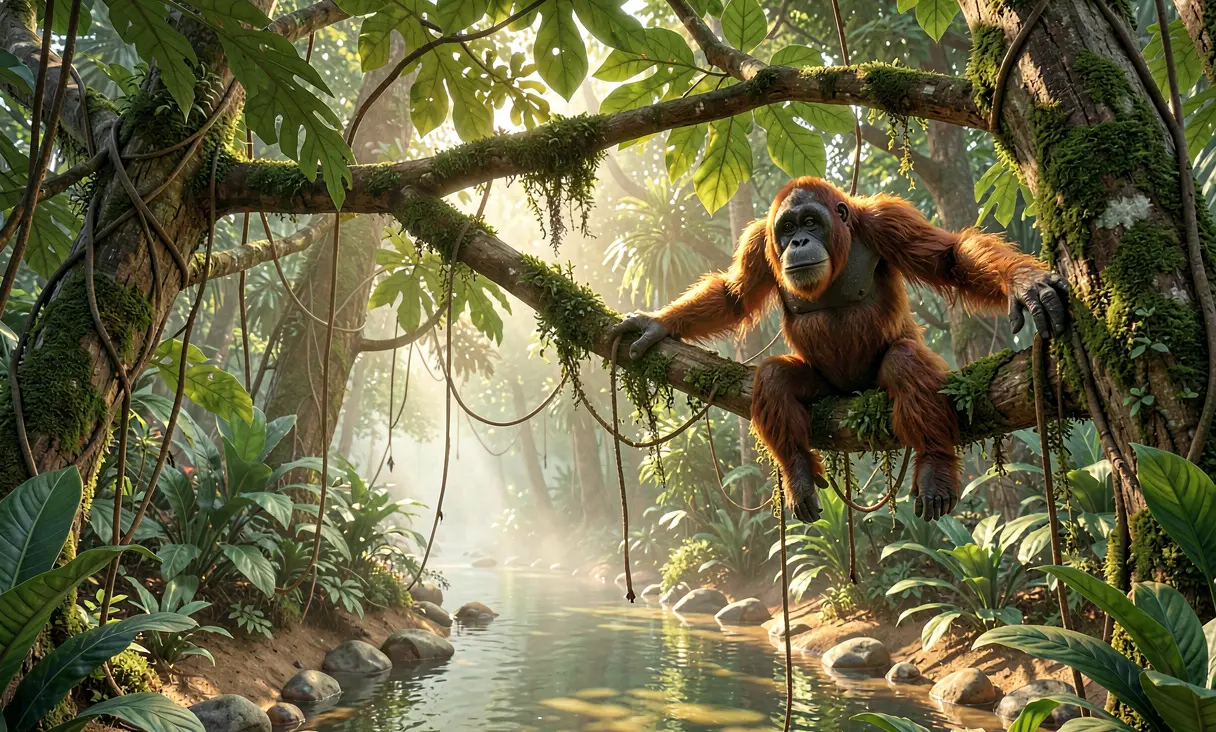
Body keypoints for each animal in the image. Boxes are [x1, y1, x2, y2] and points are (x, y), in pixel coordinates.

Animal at [612, 177, 1068, 523]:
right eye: (786, 228)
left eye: (811, 221)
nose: (797, 242)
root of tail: (851, 391)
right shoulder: (758, 242)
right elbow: (734, 296)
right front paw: (655, 324)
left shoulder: (889, 220)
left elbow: (949, 258)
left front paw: (1024, 282)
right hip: (826, 388)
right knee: (776, 377)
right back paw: (797, 471)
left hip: (873, 383)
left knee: (904, 361)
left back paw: (935, 467)